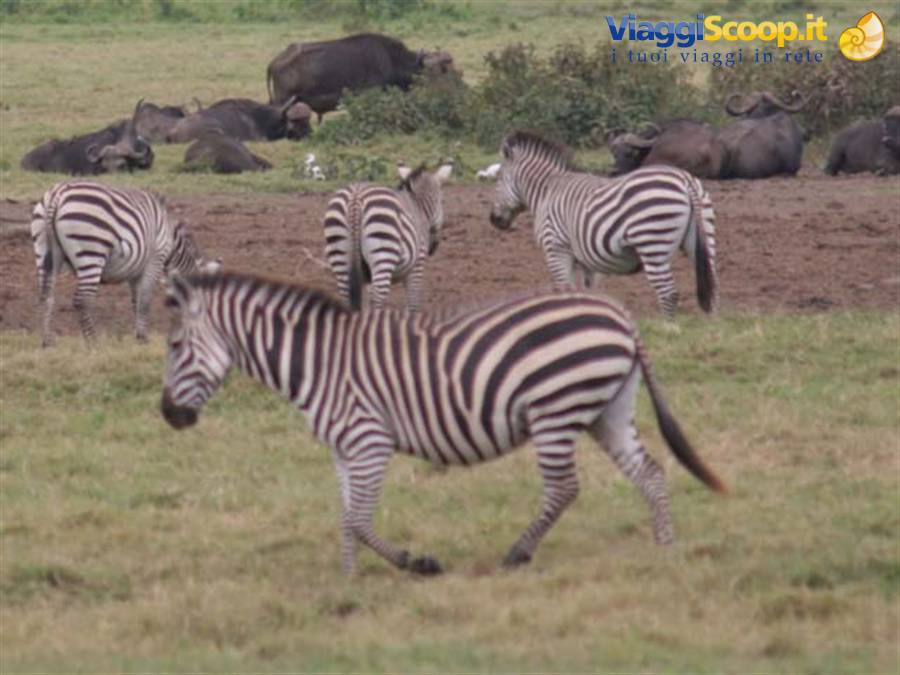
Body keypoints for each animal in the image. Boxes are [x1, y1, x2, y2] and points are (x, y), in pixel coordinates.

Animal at [30, 180, 220, 347]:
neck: (172, 244)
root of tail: (57, 194)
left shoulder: (135, 271)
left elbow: (136, 301)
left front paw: (138, 337)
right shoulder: (155, 259)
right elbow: (145, 300)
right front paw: (143, 338)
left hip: (43, 250)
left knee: (46, 296)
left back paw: (47, 342)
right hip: (91, 251)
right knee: (82, 300)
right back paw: (93, 343)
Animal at [161, 270, 726, 576]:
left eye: (175, 345)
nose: (168, 415)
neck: (318, 363)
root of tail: (621, 316)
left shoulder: (369, 440)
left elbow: (359, 520)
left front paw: (418, 564)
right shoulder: (343, 449)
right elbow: (345, 518)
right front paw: (348, 580)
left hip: (554, 409)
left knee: (564, 487)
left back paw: (517, 553)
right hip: (607, 410)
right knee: (649, 471)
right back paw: (665, 549)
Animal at [323, 161, 453, 312]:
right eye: (442, 201)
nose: (433, 248)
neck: (418, 209)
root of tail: (355, 198)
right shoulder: (417, 265)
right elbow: (413, 304)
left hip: (340, 254)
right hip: (383, 253)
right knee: (377, 300)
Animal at [489, 131, 719, 318]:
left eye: (498, 178)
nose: (494, 219)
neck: (548, 191)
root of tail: (684, 180)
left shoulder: (556, 248)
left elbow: (564, 290)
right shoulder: (585, 260)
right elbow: (587, 294)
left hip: (652, 244)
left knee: (668, 293)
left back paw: (669, 330)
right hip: (703, 239)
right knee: (712, 287)